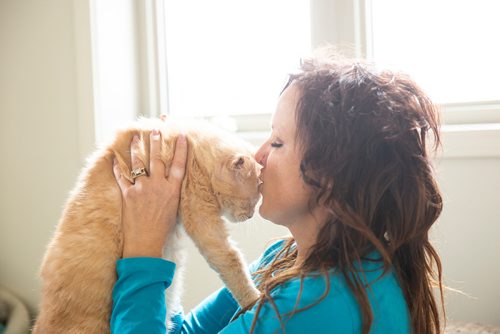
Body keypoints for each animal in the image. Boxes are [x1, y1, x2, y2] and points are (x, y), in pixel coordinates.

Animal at [34, 118, 262, 332]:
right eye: (255, 197)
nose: (251, 215)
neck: (188, 143)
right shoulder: (200, 214)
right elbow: (231, 263)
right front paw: (254, 298)